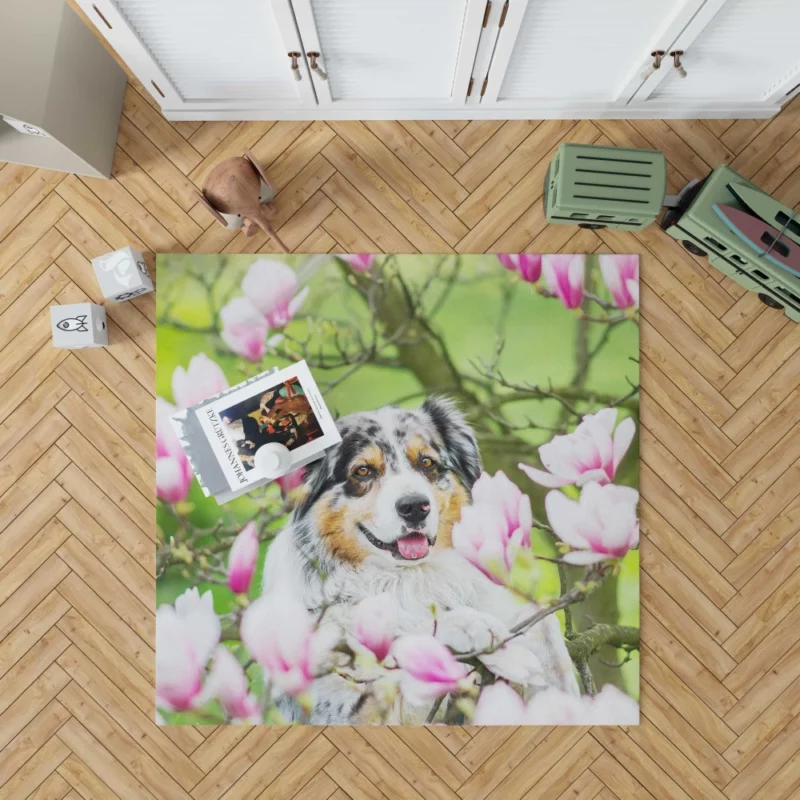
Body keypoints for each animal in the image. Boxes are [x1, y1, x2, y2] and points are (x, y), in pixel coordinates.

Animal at [262, 396, 580, 724]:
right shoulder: (344, 710)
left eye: (426, 463)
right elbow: (399, 629)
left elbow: (542, 625)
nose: (414, 506)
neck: (409, 577)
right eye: (363, 471)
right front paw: (474, 629)